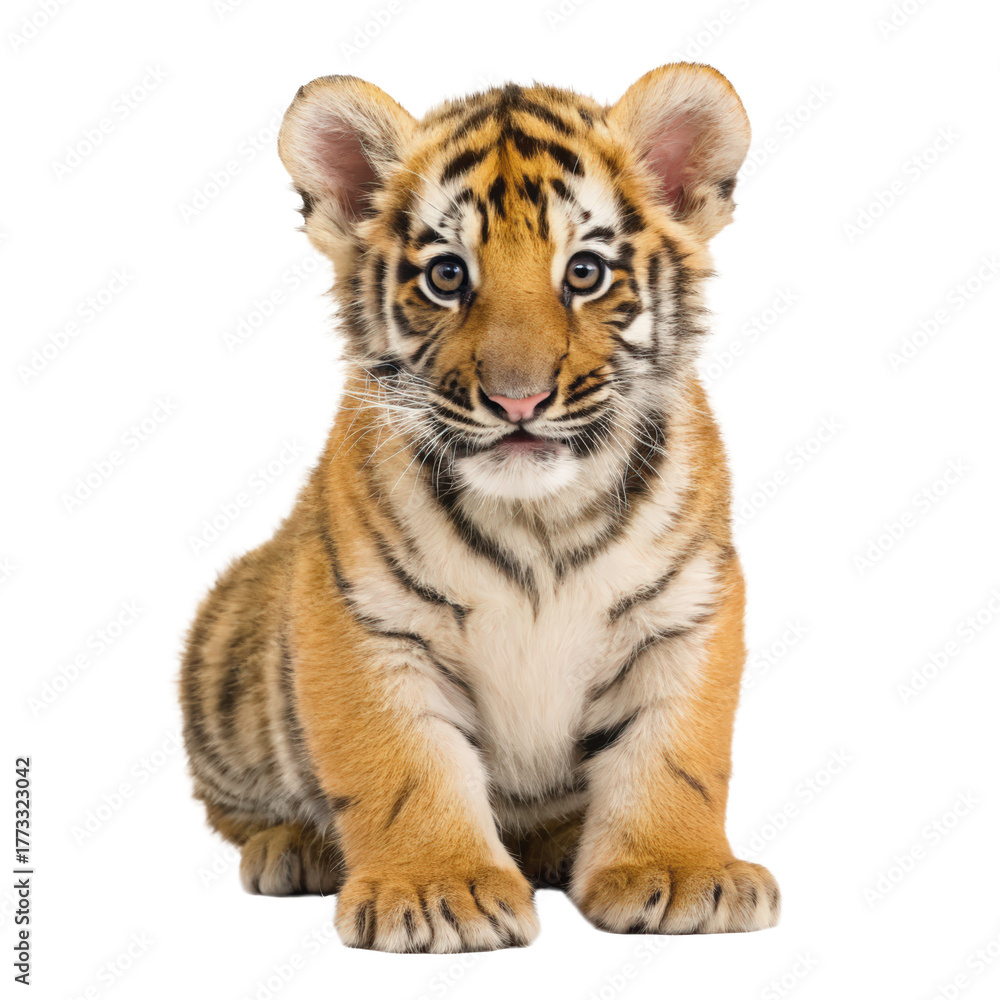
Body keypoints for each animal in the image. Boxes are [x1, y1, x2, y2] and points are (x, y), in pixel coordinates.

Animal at [180, 61, 780, 953]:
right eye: (447, 276)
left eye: (585, 273)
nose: (517, 399)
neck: (538, 520)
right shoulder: (364, 619)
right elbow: (402, 765)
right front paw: (440, 890)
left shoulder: (685, 611)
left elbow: (674, 752)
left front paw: (678, 872)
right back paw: (296, 849)